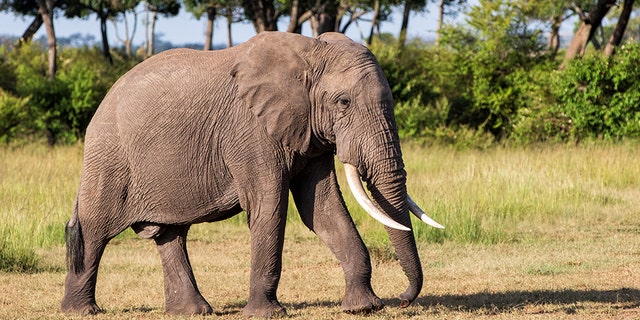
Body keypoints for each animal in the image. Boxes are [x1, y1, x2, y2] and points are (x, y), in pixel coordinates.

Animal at [60, 30, 442, 318]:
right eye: (343, 102)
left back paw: (193, 311)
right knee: (94, 231)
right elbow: (269, 205)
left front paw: (363, 308)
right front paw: (267, 314)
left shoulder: (307, 130)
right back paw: (81, 311)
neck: (310, 51)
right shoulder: (250, 129)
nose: (403, 300)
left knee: (171, 234)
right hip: (108, 157)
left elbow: (321, 208)